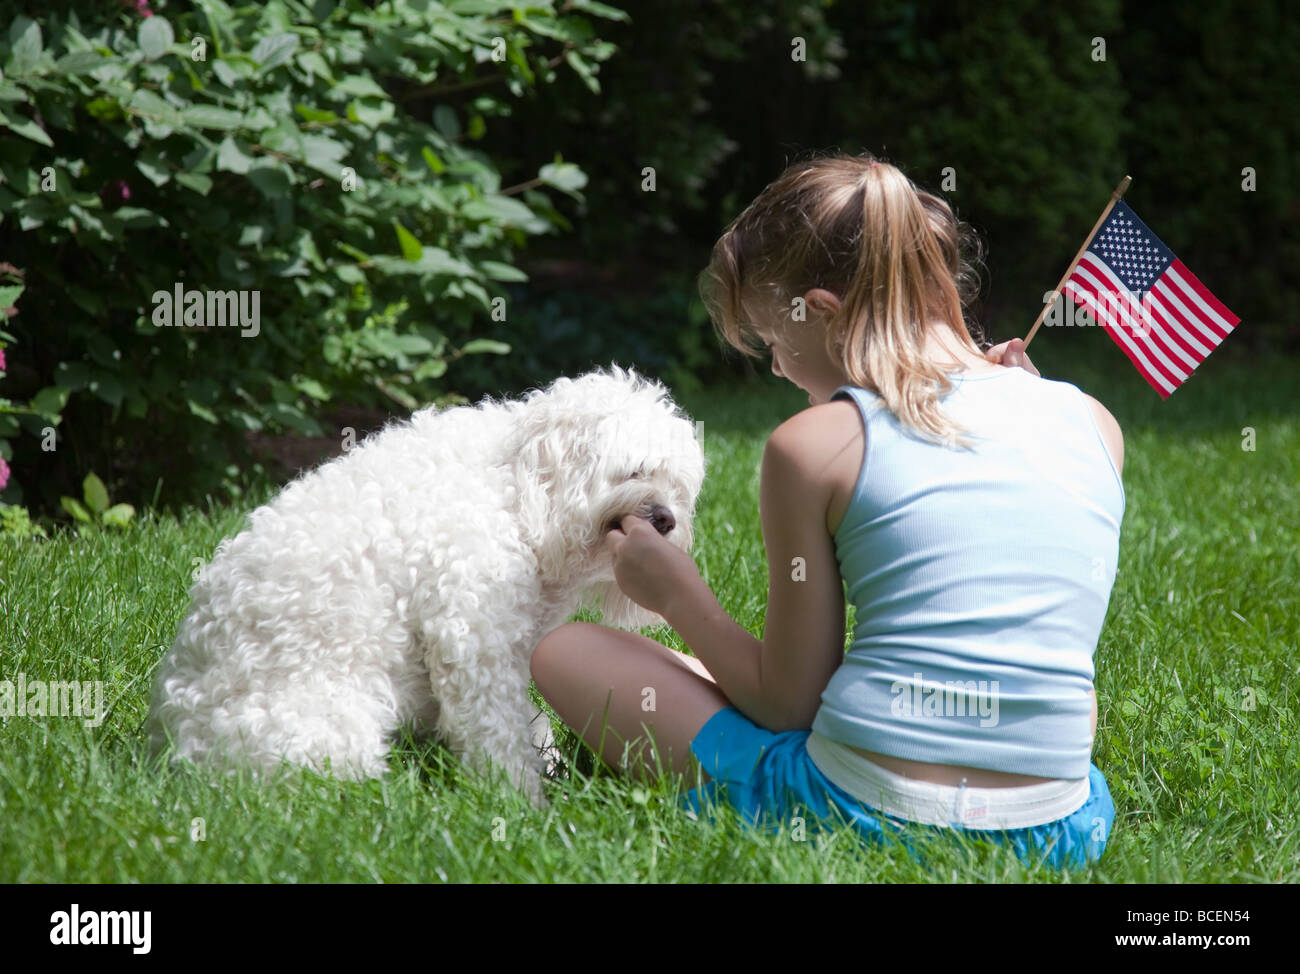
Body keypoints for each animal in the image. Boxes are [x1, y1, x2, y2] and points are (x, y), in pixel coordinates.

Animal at [147, 369, 707, 801]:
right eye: (634, 470)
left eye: (679, 487)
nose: (665, 519)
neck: (517, 492)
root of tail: (174, 737)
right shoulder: (473, 632)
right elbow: (494, 730)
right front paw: (521, 802)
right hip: (329, 734)